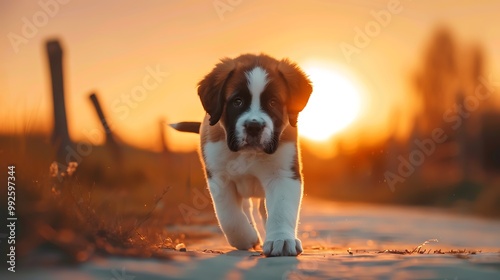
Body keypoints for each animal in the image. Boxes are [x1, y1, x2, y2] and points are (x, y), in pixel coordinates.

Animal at [173, 53, 312, 258]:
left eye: (273, 102)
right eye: (237, 101)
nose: (254, 126)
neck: (248, 154)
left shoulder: (283, 174)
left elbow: (281, 208)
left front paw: (281, 240)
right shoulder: (218, 178)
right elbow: (229, 216)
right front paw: (247, 238)